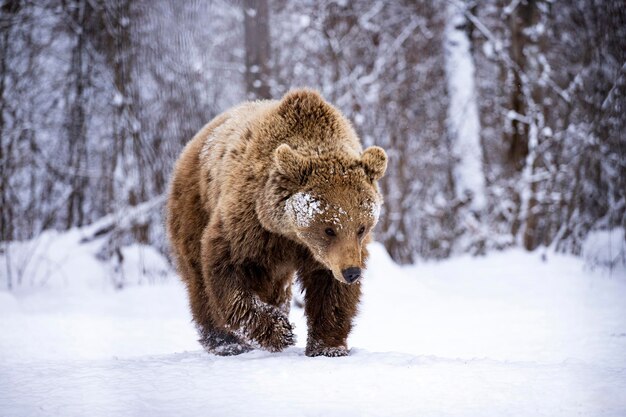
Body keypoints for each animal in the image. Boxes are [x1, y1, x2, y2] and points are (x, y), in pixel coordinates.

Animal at [166, 89, 386, 356]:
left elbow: (330, 290)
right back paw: (225, 342)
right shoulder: (251, 224)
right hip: (195, 204)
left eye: (362, 228)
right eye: (328, 229)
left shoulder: (324, 254)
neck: (291, 234)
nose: (352, 272)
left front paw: (328, 345)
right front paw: (280, 331)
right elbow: (227, 268)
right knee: (199, 280)